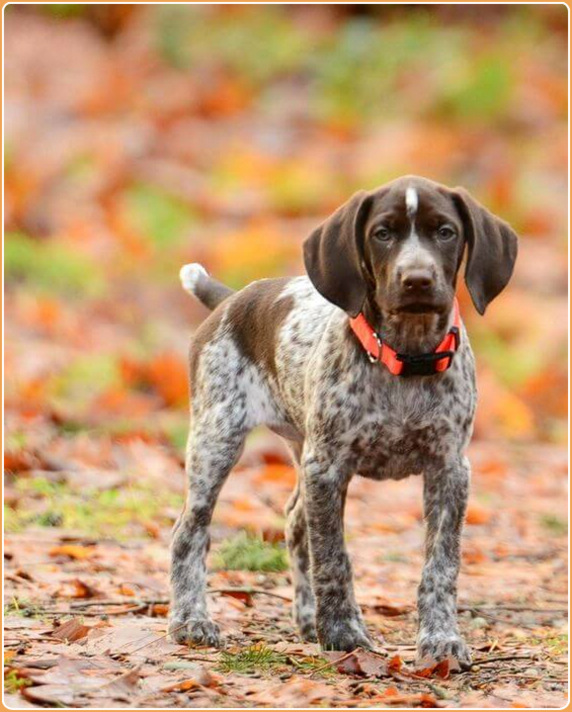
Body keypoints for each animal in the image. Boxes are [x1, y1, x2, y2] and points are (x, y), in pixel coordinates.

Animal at [170, 175, 520, 672]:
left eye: (446, 232)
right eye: (383, 233)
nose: (417, 279)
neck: (407, 358)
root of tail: (231, 300)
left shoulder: (450, 470)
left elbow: (440, 564)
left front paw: (440, 640)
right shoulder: (329, 467)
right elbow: (333, 556)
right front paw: (342, 632)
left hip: (299, 447)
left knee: (295, 523)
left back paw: (305, 618)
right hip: (216, 439)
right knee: (191, 531)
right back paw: (191, 621)